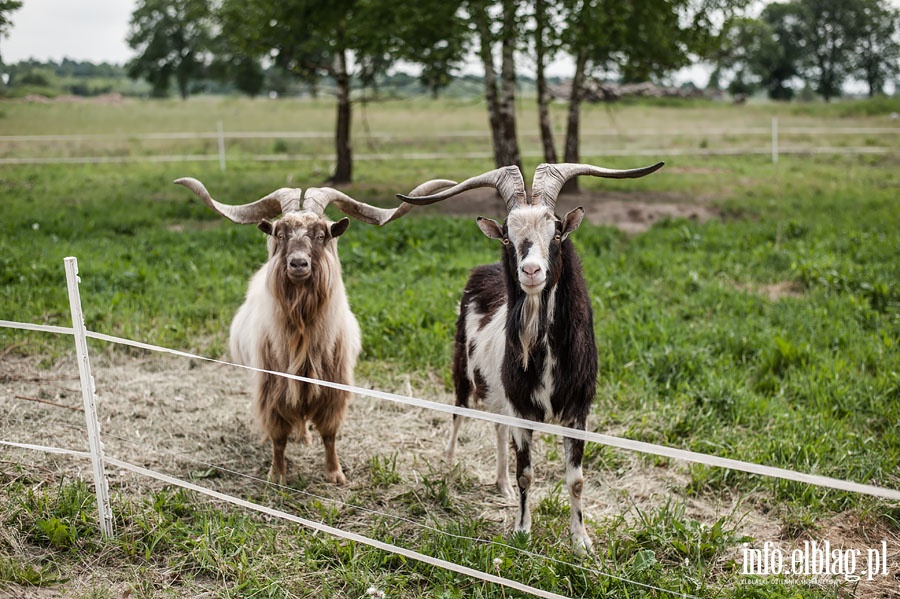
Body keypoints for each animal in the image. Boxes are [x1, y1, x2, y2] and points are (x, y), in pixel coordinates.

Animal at [400, 161, 660, 552]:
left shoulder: (577, 412)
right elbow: (526, 473)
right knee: (459, 412)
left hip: (497, 391)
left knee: (496, 425)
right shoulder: (523, 410)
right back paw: (448, 467)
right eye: (508, 237)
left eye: (556, 232)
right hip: (462, 368)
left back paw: (501, 484)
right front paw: (522, 531)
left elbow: (576, 480)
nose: (531, 271)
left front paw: (581, 541)